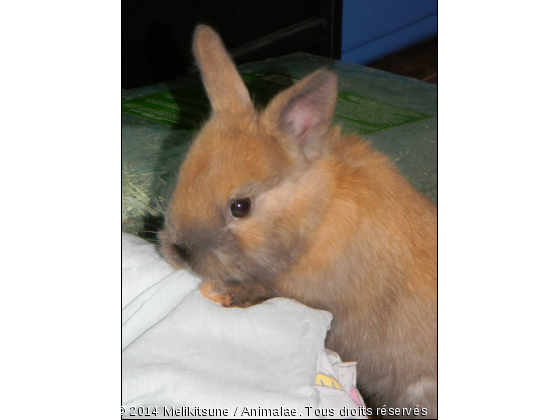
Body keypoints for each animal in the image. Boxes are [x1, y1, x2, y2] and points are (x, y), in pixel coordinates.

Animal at [160, 25, 440, 416]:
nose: (178, 252)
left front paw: (223, 292)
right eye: (182, 176)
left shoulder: (309, 295)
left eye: (241, 206)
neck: (316, 215)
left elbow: (268, 290)